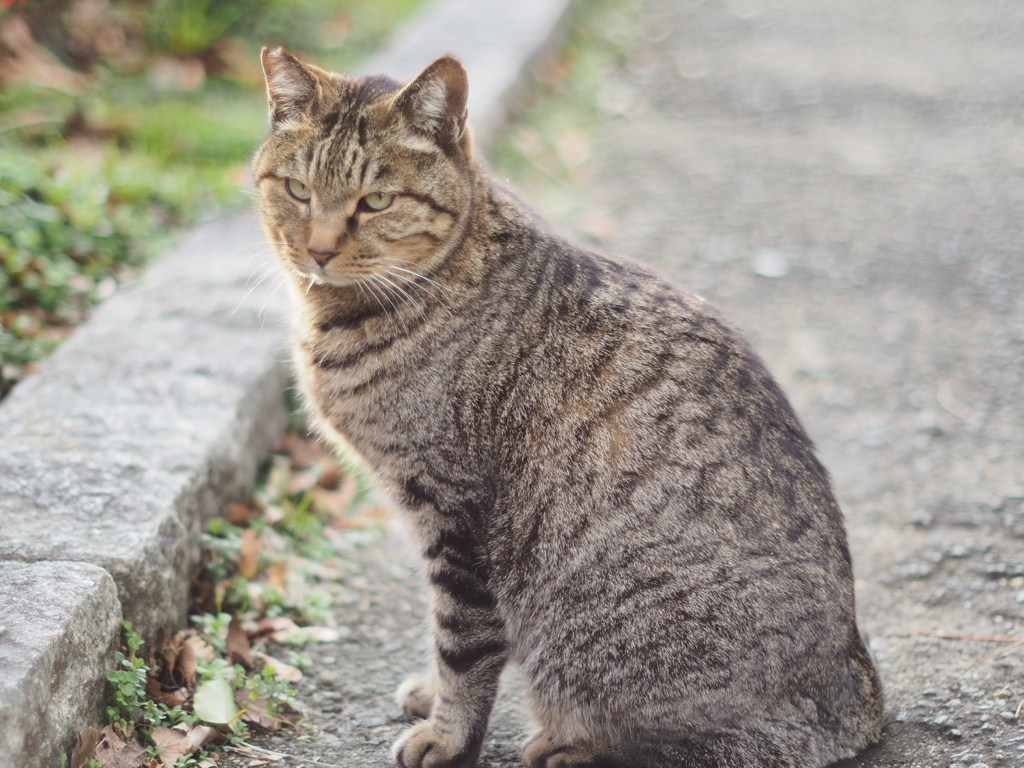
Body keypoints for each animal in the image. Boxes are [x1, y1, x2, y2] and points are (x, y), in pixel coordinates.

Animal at [251, 48, 884, 768]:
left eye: (376, 201)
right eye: (298, 190)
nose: (319, 250)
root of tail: (858, 692)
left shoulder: (454, 511)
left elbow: (462, 645)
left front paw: (447, 733)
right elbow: (440, 632)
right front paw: (429, 693)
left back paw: (571, 746)